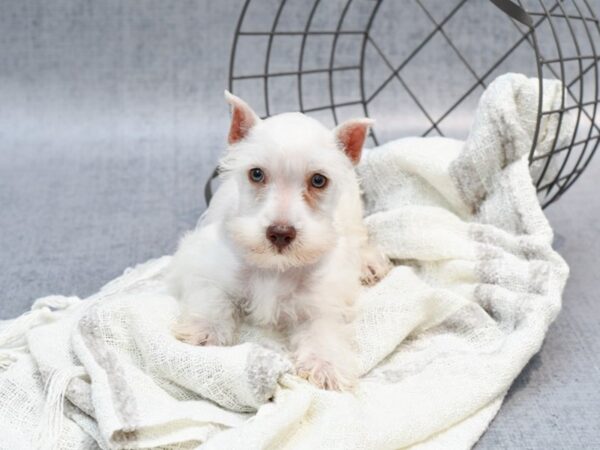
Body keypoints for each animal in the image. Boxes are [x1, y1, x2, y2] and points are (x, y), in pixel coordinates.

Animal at [171, 92, 392, 390]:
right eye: (256, 173)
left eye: (319, 180)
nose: (280, 233)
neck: (275, 266)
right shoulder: (206, 265)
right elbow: (213, 296)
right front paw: (205, 330)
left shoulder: (323, 299)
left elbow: (323, 328)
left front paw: (325, 365)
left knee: (358, 239)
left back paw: (368, 263)